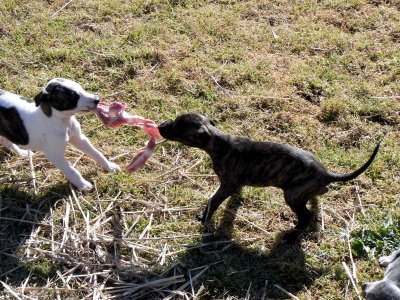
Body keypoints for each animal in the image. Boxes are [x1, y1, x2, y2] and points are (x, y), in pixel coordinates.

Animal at [159, 113, 378, 243]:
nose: (160, 126)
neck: (218, 142)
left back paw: (291, 237)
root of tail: (326, 173)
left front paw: (204, 217)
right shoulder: (234, 185)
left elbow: (213, 201)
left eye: (178, 127)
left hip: (292, 196)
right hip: (303, 193)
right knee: (315, 203)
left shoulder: (227, 185)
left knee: (306, 216)